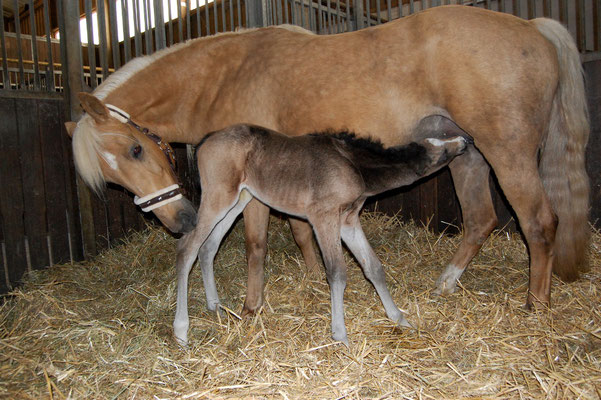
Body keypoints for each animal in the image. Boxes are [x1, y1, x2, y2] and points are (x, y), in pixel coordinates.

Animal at [67, 7, 584, 312]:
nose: (179, 220)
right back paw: (445, 284)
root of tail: (532, 27)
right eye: (113, 176)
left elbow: (256, 243)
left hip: (507, 155)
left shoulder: (252, 186)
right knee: (480, 220)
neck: (225, 74)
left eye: (136, 149)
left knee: (539, 223)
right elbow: (300, 232)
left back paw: (536, 307)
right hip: (467, 155)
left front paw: (252, 307)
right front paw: (315, 277)